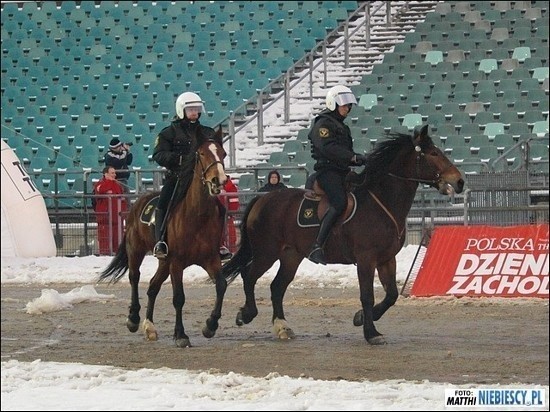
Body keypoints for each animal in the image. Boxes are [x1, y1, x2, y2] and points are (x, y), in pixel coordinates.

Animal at [98, 130, 229, 348]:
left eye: (223, 153)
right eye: (201, 154)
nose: (218, 180)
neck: (197, 215)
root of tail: (137, 202)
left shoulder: (211, 259)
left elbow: (221, 285)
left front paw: (210, 325)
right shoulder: (176, 263)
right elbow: (179, 298)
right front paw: (181, 335)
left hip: (164, 262)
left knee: (153, 286)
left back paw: (149, 326)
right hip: (136, 250)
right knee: (135, 277)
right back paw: (134, 319)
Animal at [220, 124, 466, 344]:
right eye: (433, 153)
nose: (459, 181)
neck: (380, 201)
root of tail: (262, 199)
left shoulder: (386, 259)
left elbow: (391, 295)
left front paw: (361, 318)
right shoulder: (366, 259)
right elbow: (367, 295)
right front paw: (371, 333)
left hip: (291, 256)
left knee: (277, 287)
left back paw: (282, 327)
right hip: (266, 252)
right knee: (249, 276)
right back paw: (246, 314)